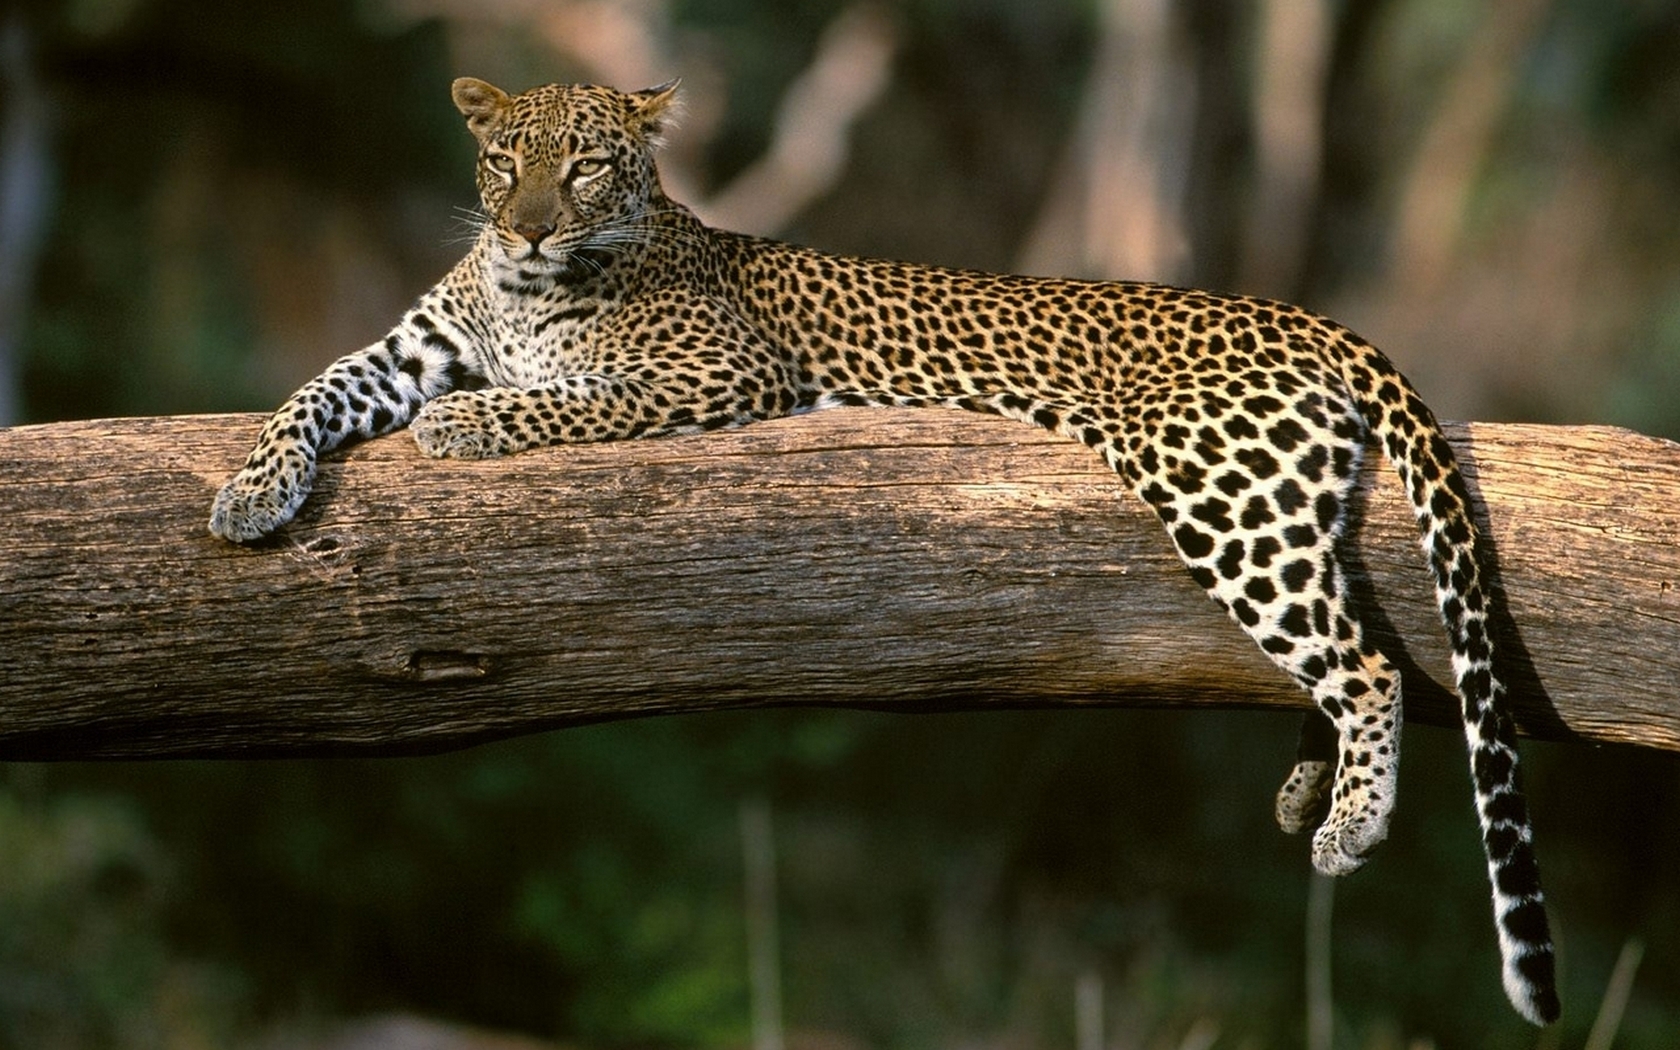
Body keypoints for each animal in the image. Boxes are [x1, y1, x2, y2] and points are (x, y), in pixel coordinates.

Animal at [209, 77, 1559, 1024]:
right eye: (506, 162)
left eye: (587, 169)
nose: (530, 232)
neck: (524, 294)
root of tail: (1300, 312)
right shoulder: (406, 349)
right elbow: (309, 393)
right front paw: (247, 496)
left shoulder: (713, 374)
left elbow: (556, 401)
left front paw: (464, 426)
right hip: (1275, 504)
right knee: (1346, 638)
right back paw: (1304, 787)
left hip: (1217, 490)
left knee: (1367, 663)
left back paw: (1349, 828)